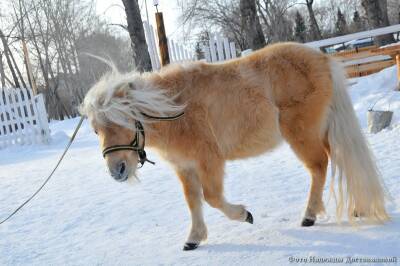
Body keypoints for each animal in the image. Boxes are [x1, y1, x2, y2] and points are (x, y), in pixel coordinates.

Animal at [79, 42, 390, 250]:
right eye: (96, 130)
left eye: (123, 121)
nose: (117, 171)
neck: (175, 109)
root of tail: (322, 59)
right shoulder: (185, 167)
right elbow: (193, 201)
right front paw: (194, 238)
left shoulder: (209, 162)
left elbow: (212, 198)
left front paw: (244, 215)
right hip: (320, 131)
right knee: (339, 158)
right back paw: (358, 207)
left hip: (302, 135)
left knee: (319, 166)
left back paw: (309, 216)